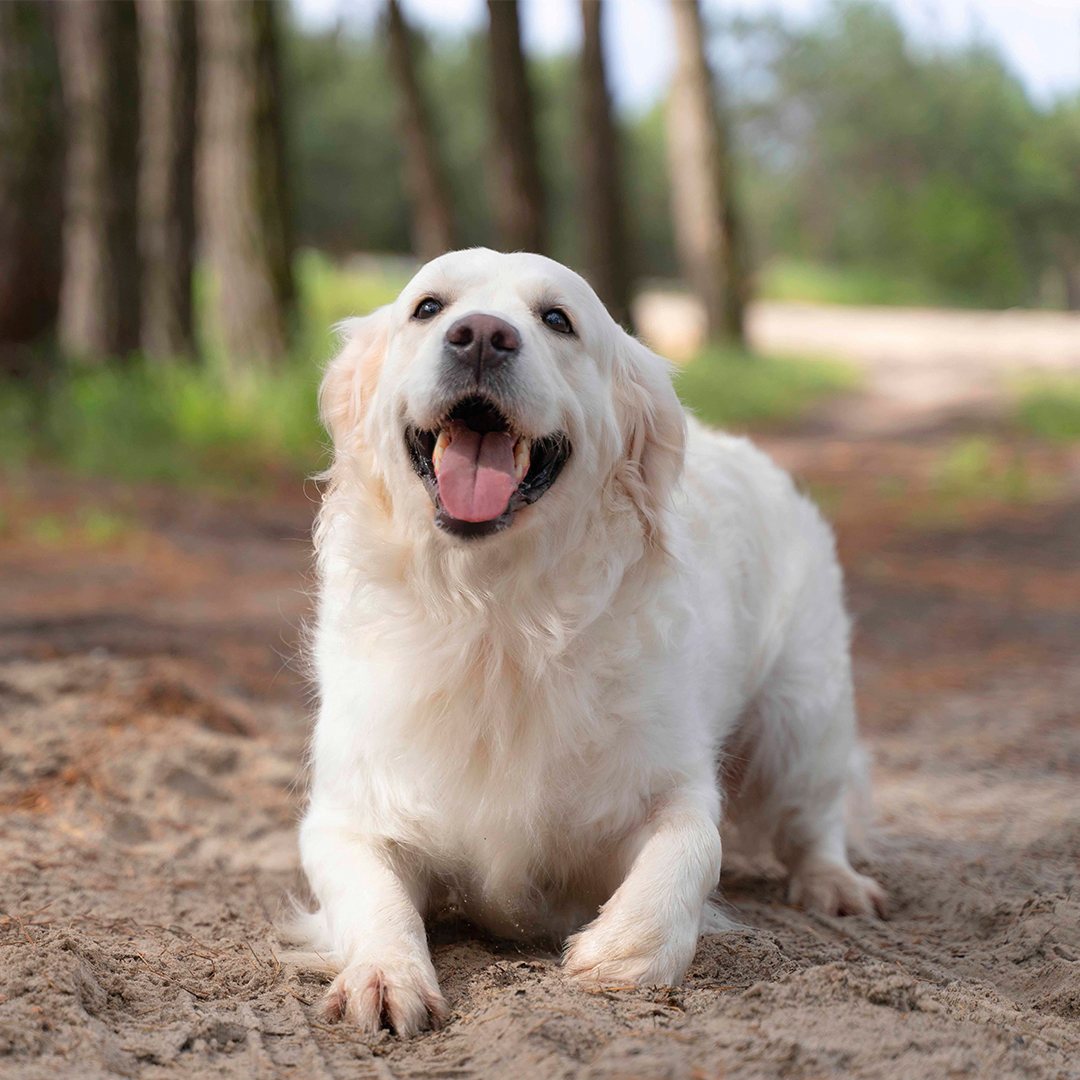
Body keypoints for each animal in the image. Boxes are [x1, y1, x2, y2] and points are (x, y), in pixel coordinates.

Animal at [298, 248, 885, 1032]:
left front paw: (622, 951)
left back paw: (834, 884)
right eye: (427, 307)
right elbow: (373, 894)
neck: (497, 617)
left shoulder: (667, 781)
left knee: (816, 813)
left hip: (803, 715)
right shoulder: (347, 811)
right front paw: (386, 975)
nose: (480, 336)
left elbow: (695, 844)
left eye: (557, 319)